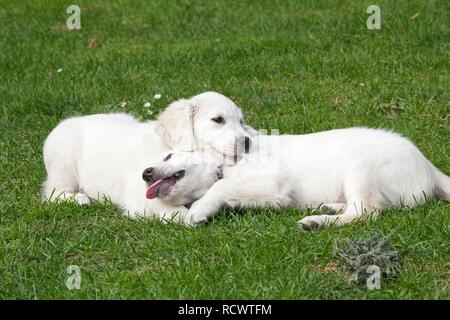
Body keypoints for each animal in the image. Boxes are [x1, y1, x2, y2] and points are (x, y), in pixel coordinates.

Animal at [42, 90, 253, 220]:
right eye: (218, 119)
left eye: (241, 121)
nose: (247, 142)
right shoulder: (139, 193)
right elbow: (168, 208)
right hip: (64, 163)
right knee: (51, 193)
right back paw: (79, 199)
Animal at [150, 126, 450, 229]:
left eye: (167, 156)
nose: (145, 174)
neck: (225, 163)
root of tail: (429, 167)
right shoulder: (273, 196)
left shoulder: (273, 181)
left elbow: (222, 185)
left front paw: (200, 210)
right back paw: (329, 207)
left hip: (361, 167)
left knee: (367, 212)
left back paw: (318, 222)